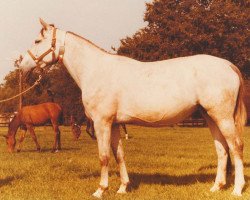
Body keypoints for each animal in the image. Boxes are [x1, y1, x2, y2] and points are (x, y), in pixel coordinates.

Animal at [20, 19, 246, 198]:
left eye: (37, 41)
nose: (21, 64)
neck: (96, 70)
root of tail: (228, 65)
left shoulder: (102, 123)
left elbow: (104, 157)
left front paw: (100, 190)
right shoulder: (115, 124)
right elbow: (119, 155)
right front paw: (122, 188)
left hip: (222, 117)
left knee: (235, 147)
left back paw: (237, 189)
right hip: (210, 117)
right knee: (222, 149)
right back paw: (216, 187)